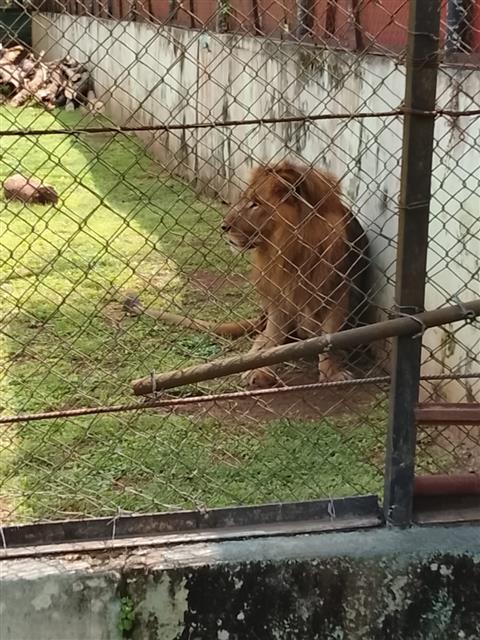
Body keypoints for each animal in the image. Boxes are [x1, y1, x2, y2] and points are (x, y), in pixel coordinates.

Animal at [220, 161, 369, 388]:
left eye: (255, 204)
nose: (223, 226)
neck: (293, 249)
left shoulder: (338, 295)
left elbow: (330, 337)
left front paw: (332, 373)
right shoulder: (280, 296)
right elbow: (272, 338)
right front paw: (260, 370)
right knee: (262, 336)